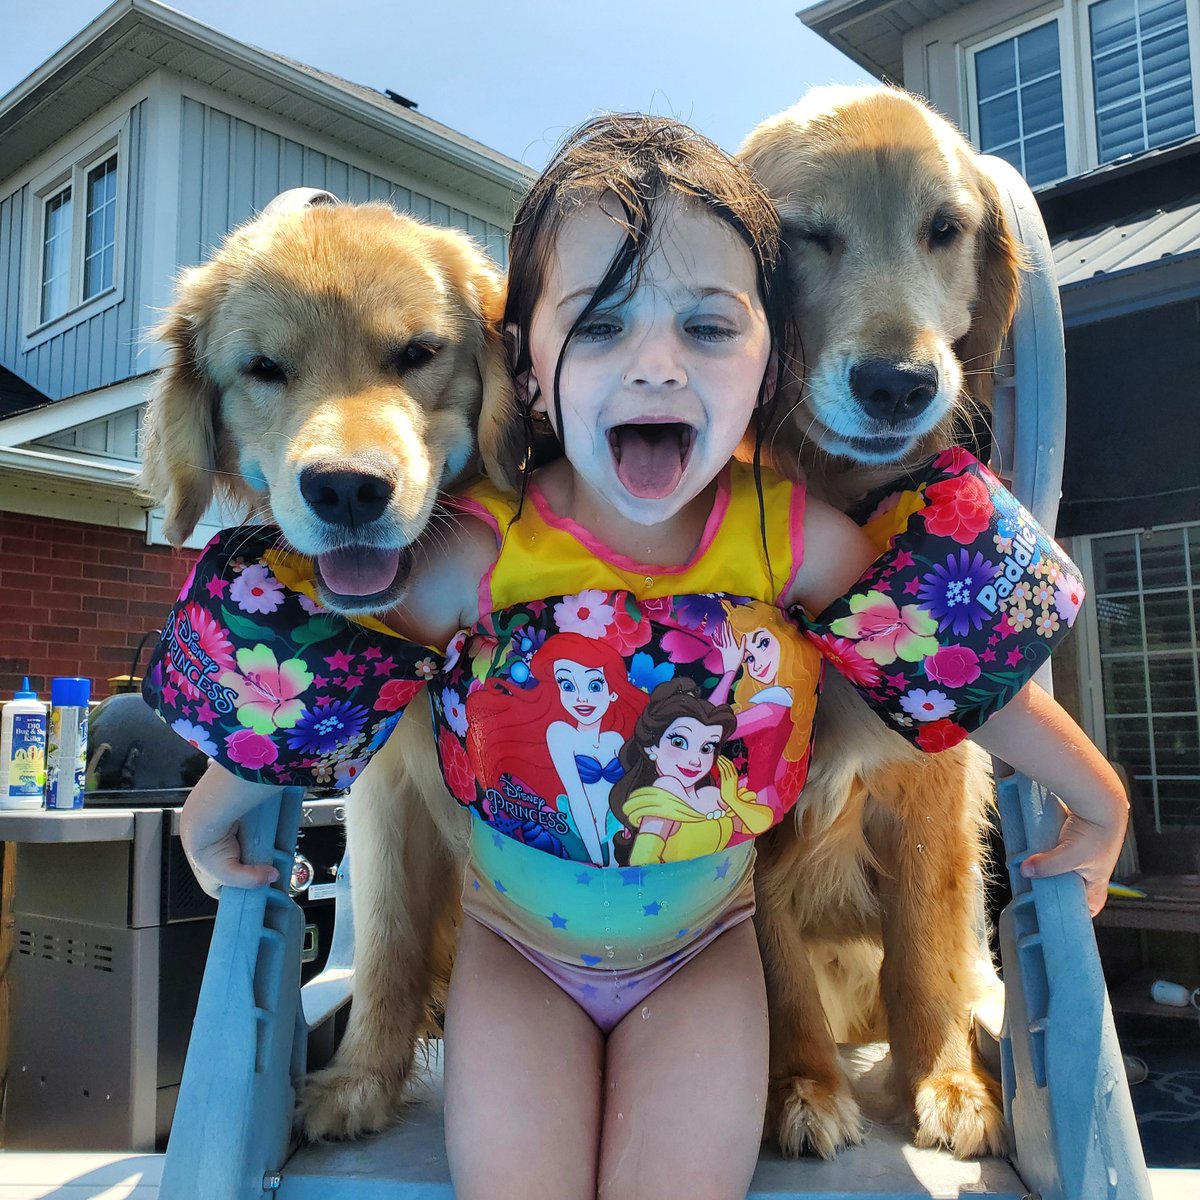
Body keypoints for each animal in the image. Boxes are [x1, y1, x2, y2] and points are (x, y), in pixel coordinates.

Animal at [140, 192, 516, 1137]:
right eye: (264, 368)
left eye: (417, 353)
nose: (347, 488)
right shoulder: (382, 797)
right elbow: (383, 934)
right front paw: (362, 1080)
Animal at [739, 87, 1022, 1161]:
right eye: (807, 236)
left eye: (945, 229)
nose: (899, 383)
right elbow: (774, 971)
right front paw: (802, 1085)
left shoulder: (933, 796)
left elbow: (921, 954)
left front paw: (946, 1079)